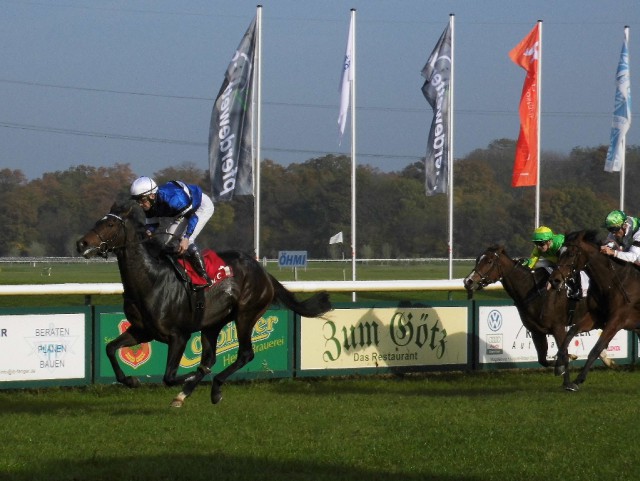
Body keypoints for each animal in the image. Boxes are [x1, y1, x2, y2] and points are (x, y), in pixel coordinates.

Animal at [77, 201, 332, 406]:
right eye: (99, 221)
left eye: (110, 225)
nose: (82, 243)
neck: (151, 280)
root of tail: (264, 273)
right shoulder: (142, 331)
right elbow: (110, 348)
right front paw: (131, 379)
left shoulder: (178, 336)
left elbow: (170, 376)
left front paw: (189, 376)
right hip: (212, 323)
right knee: (210, 357)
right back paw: (185, 393)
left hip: (246, 314)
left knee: (245, 354)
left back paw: (214, 387)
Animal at [460, 246, 608, 370]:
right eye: (477, 260)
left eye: (489, 261)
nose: (468, 281)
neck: (534, 290)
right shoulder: (536, 330)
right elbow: (543, 360)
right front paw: (570, 357)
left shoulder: (558, 327)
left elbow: (562, 353)